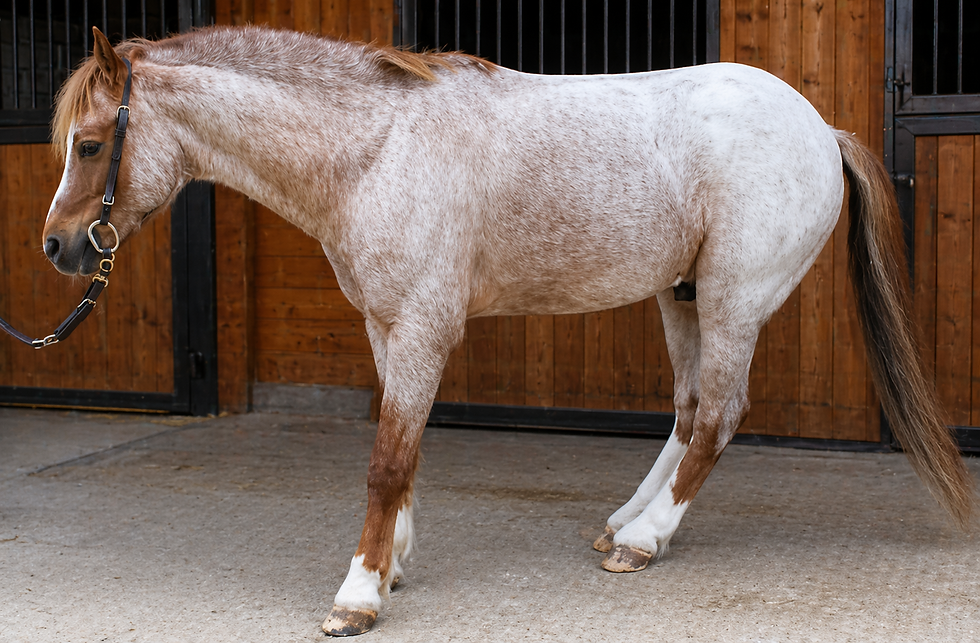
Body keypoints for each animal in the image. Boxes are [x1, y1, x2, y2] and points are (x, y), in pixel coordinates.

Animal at [43, 25, 974, 636]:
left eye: (88, 145)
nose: (57, 247)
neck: (377, 148)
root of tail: (821, 128)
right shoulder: (388, 326)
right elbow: (407, 452)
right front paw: (394, 563)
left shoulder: (422, 327)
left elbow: (386, 461)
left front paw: (358, 593)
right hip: (680, 296)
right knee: (687, 412)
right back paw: (625, 523)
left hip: (731, 299)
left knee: (718, 415)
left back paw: (642, 542)